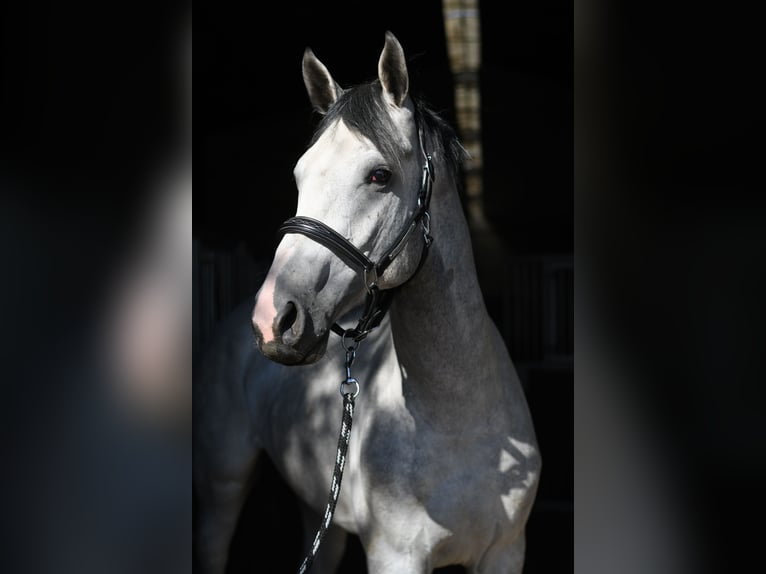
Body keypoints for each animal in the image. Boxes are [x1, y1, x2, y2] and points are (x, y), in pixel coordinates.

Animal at [194, 32, 541, 574]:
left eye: (379, 175)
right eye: (299, 176)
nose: (274, 318)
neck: (458, 421)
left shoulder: (506, 551)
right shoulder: (396, 557)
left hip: (318, 508)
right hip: (222, 485)